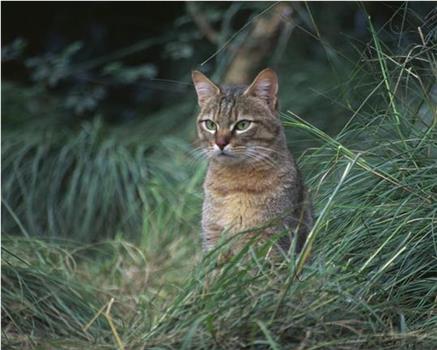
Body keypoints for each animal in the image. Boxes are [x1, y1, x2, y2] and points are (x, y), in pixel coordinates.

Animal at [192, 67, 312, 254]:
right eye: (210, 125)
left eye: (242, 125)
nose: (220, 143)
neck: (234, 184)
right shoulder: (212, 237)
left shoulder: (272, 240)